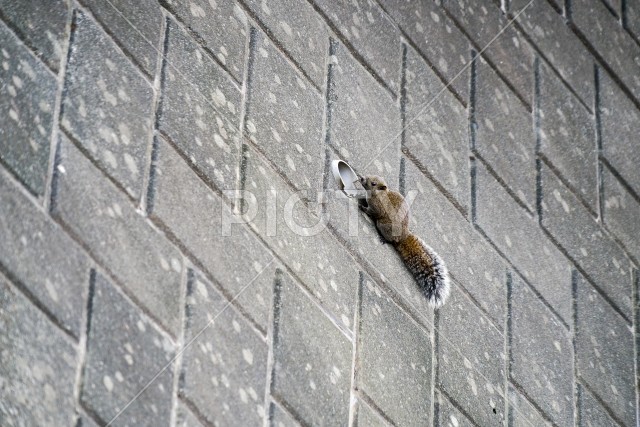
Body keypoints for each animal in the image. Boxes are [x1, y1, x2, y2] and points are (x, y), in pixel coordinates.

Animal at [360, 176, 450, 310]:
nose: (361, 178)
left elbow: (372, 212)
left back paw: (384, 239)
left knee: (390, 240)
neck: (380, 194)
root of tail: (402, 238)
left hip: (383, 226)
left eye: (373, 183)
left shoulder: (377, 208)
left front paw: (362, 207)